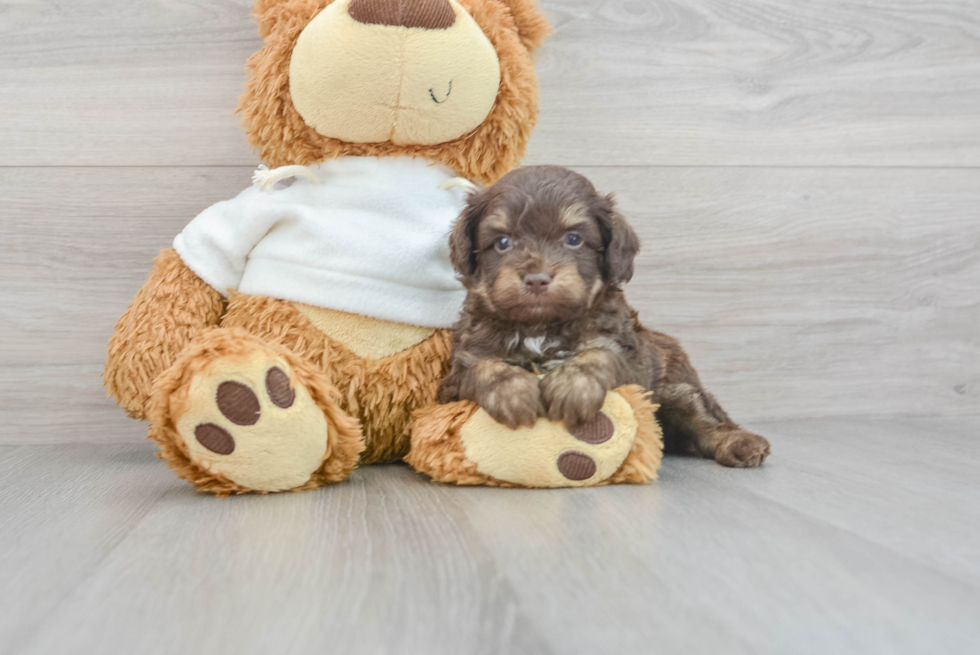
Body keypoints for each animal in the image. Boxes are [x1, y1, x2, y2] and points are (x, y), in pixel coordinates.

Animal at [442, 167, 772, 468]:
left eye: (573, 239)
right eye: (502, 242)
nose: (536, 279)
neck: (541, 326)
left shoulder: (633, 366)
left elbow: (599, 355)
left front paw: (573, 387)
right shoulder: (455, 378)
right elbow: (484, 368)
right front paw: (513, 393)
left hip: (675, 388)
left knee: (704, 414)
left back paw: (741, 443)